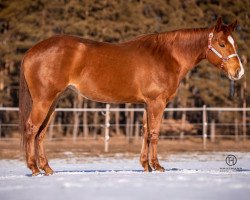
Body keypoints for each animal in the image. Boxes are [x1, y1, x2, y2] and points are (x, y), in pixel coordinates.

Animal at [19, 18, 244, 176]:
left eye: (233, 43)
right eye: (222, 44)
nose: (238, 72)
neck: (166, 56)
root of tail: (31, 51)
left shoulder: (146, 104)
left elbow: (145, 132)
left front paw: (146, 166)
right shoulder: (157, 103)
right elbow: (154, 133)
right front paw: (157, 166)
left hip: (52, 102)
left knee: (41, 133)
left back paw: (47, 169)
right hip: (44, 101)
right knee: (31, 128)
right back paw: (34, 168)